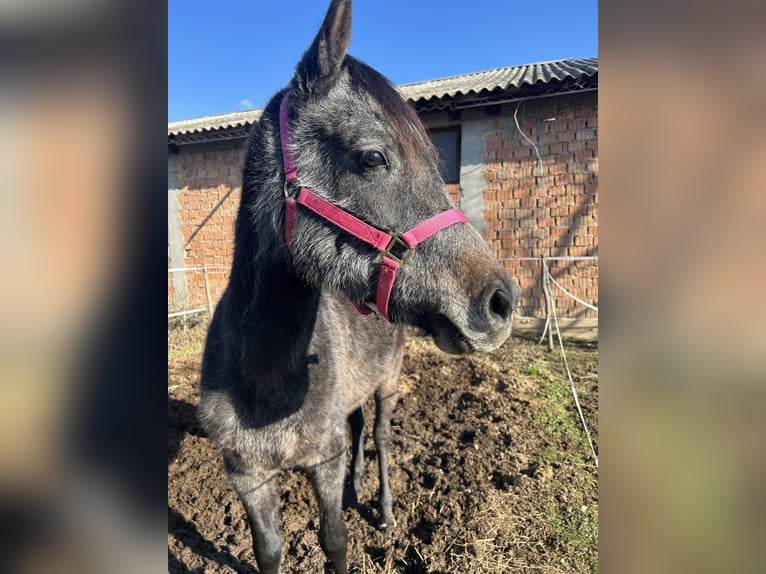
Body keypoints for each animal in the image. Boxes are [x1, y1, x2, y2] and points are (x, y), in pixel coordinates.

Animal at [200, 2, 520, 572]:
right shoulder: (247, 478)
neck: (263, 374)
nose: (501, 302)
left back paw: (386, 507)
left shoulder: (322, 462)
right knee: (356, 430)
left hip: (389, 383)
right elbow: (268, 551)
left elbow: (334, 539)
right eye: (372, 157)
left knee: (381, 436)